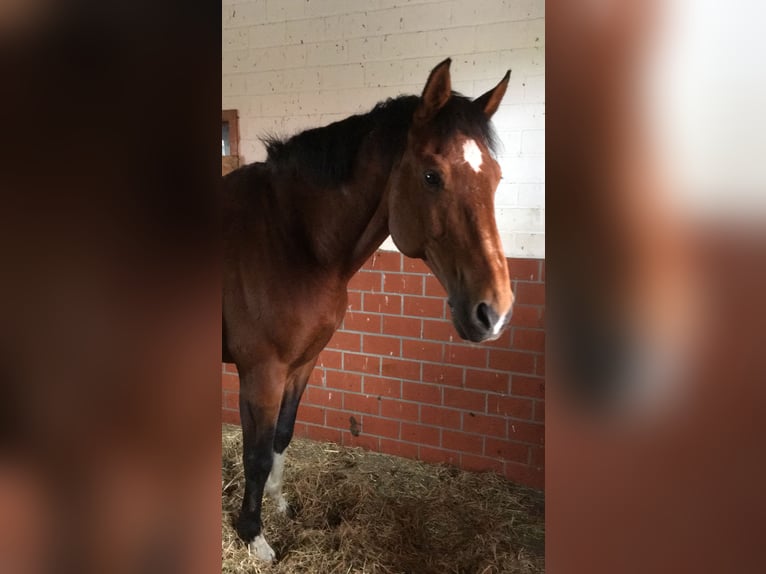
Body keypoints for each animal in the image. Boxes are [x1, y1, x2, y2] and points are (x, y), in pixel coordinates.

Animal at [225, 58, 520, 564]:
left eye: (496, 178)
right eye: (431, 175)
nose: (493, 313)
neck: (292, 239)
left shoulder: (303, 363)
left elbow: (282, 435)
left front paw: (279, 503)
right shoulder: (262, 372)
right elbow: (256, 453)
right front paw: (254, 536)